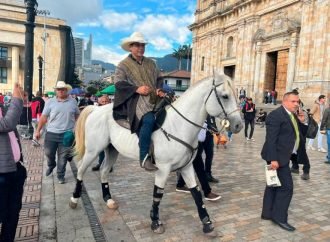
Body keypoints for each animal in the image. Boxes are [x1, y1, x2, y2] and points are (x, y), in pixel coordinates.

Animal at [69, 71, 244, 236]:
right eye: (225, 96)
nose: (238, 125)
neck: (178, 126)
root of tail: (96, 109)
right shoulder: (163, 169)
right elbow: (158, 194)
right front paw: (155, 222)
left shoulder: (186, 167)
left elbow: (196, 194)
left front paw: (207, 224)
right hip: (93, 150)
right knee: (81, 169)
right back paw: (74, 198)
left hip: (112, 150)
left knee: (104, 171)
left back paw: (109, 200)